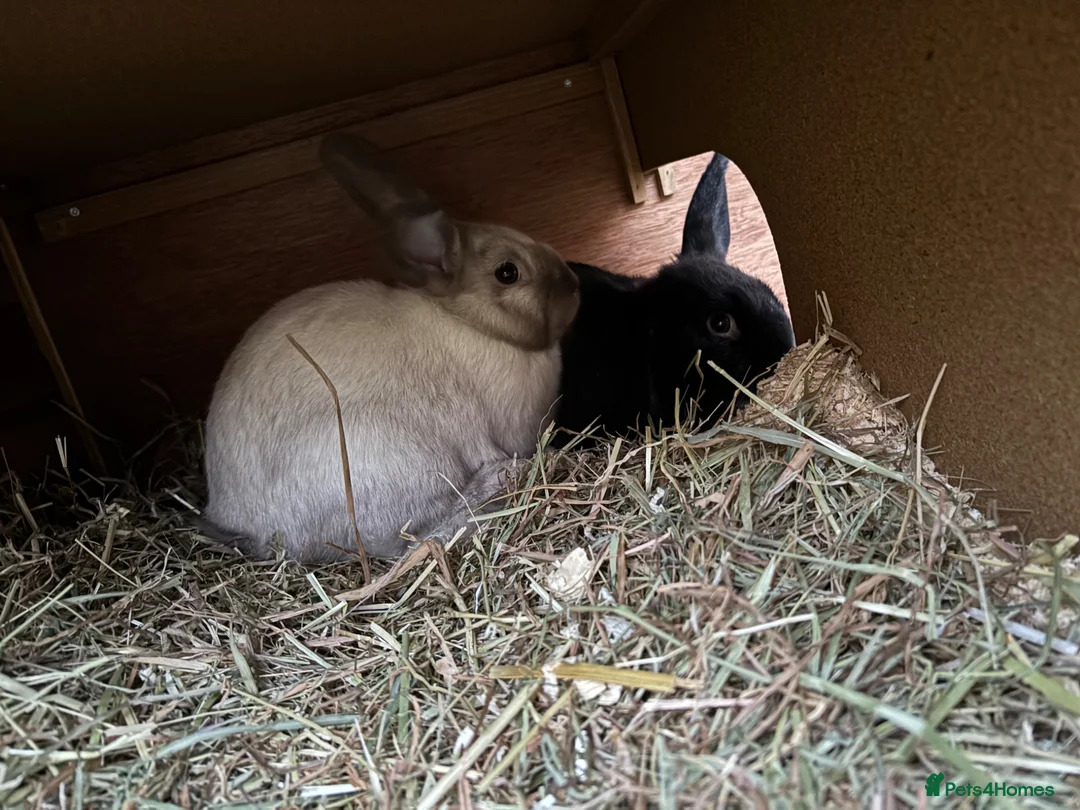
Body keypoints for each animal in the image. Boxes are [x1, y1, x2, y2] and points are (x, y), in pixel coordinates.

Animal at [199, 132, 580, 564]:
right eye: (507, 272)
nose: (573, 284)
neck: (470, 324)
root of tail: (251, 527)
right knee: (414, 539)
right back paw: (497, 481)